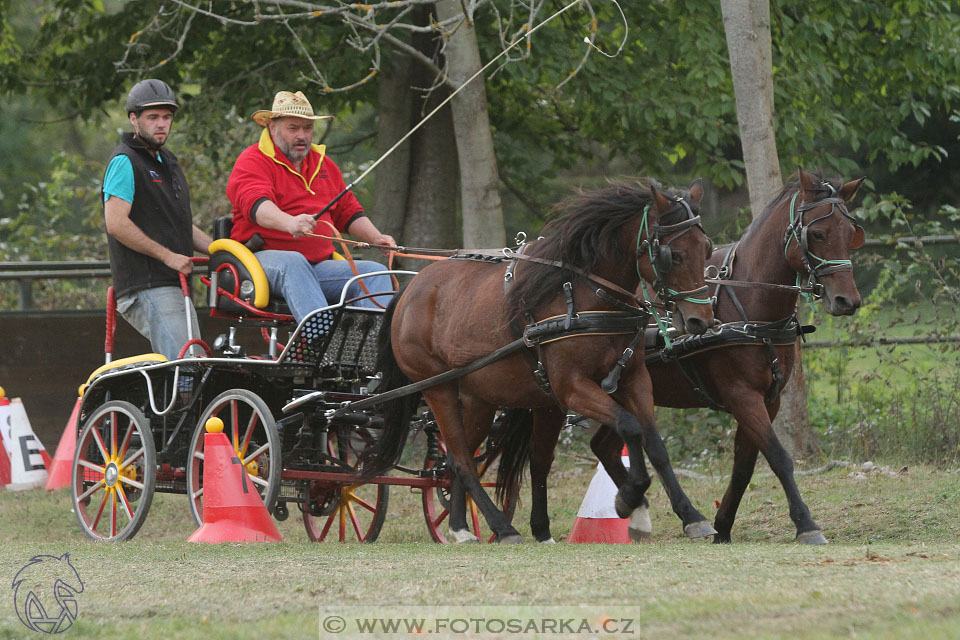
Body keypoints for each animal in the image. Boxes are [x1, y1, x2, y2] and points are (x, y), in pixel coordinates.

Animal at [364, 179, 716, 540]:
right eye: (673, 255)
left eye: (706, 249)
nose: (701, 320)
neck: (586, 297)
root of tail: (409, 290)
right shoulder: (571, 388)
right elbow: (630, 427)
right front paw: (629, 500)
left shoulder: (633, 379)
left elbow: (654, 444)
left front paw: (689, 515)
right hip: (439, 389)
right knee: (461, 458)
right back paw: (502, 528)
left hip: (479, 398)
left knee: (459, 461)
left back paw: (461, 526)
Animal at [498, 166, 868, 544]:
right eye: (818, 233)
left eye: (852, 233)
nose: (847, 300)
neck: (749, 306)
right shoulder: (742, 395)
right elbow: (778, 457)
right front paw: (805, 523)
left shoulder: (769, 399)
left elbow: (744, 466)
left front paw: (723, 525)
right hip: (555, 398)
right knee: (540, 457)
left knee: (601, 447)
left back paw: (637, 509)